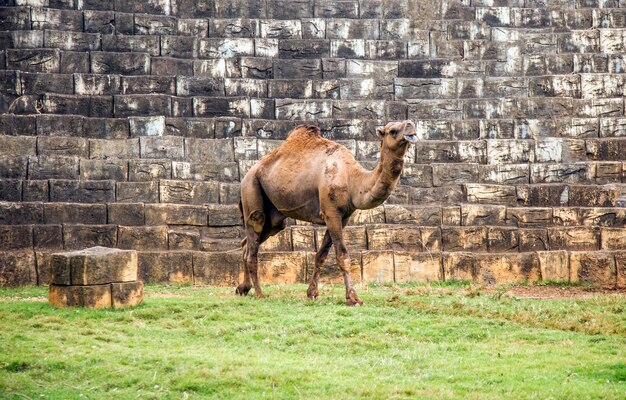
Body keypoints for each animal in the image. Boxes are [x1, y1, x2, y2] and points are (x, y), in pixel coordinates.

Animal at [236, 120, 416, 304]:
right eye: (393, 131)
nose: (411, 125)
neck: (352, 180)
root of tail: (248, 173)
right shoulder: (331, 212)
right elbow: (342, 255)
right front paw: (353, 298)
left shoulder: (343, 217)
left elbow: (321, 255)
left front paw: (312, 293)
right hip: (251, 188)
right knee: (254, 238)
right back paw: (260, 294)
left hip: (274, 216)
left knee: (249, 242)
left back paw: (243, 288)